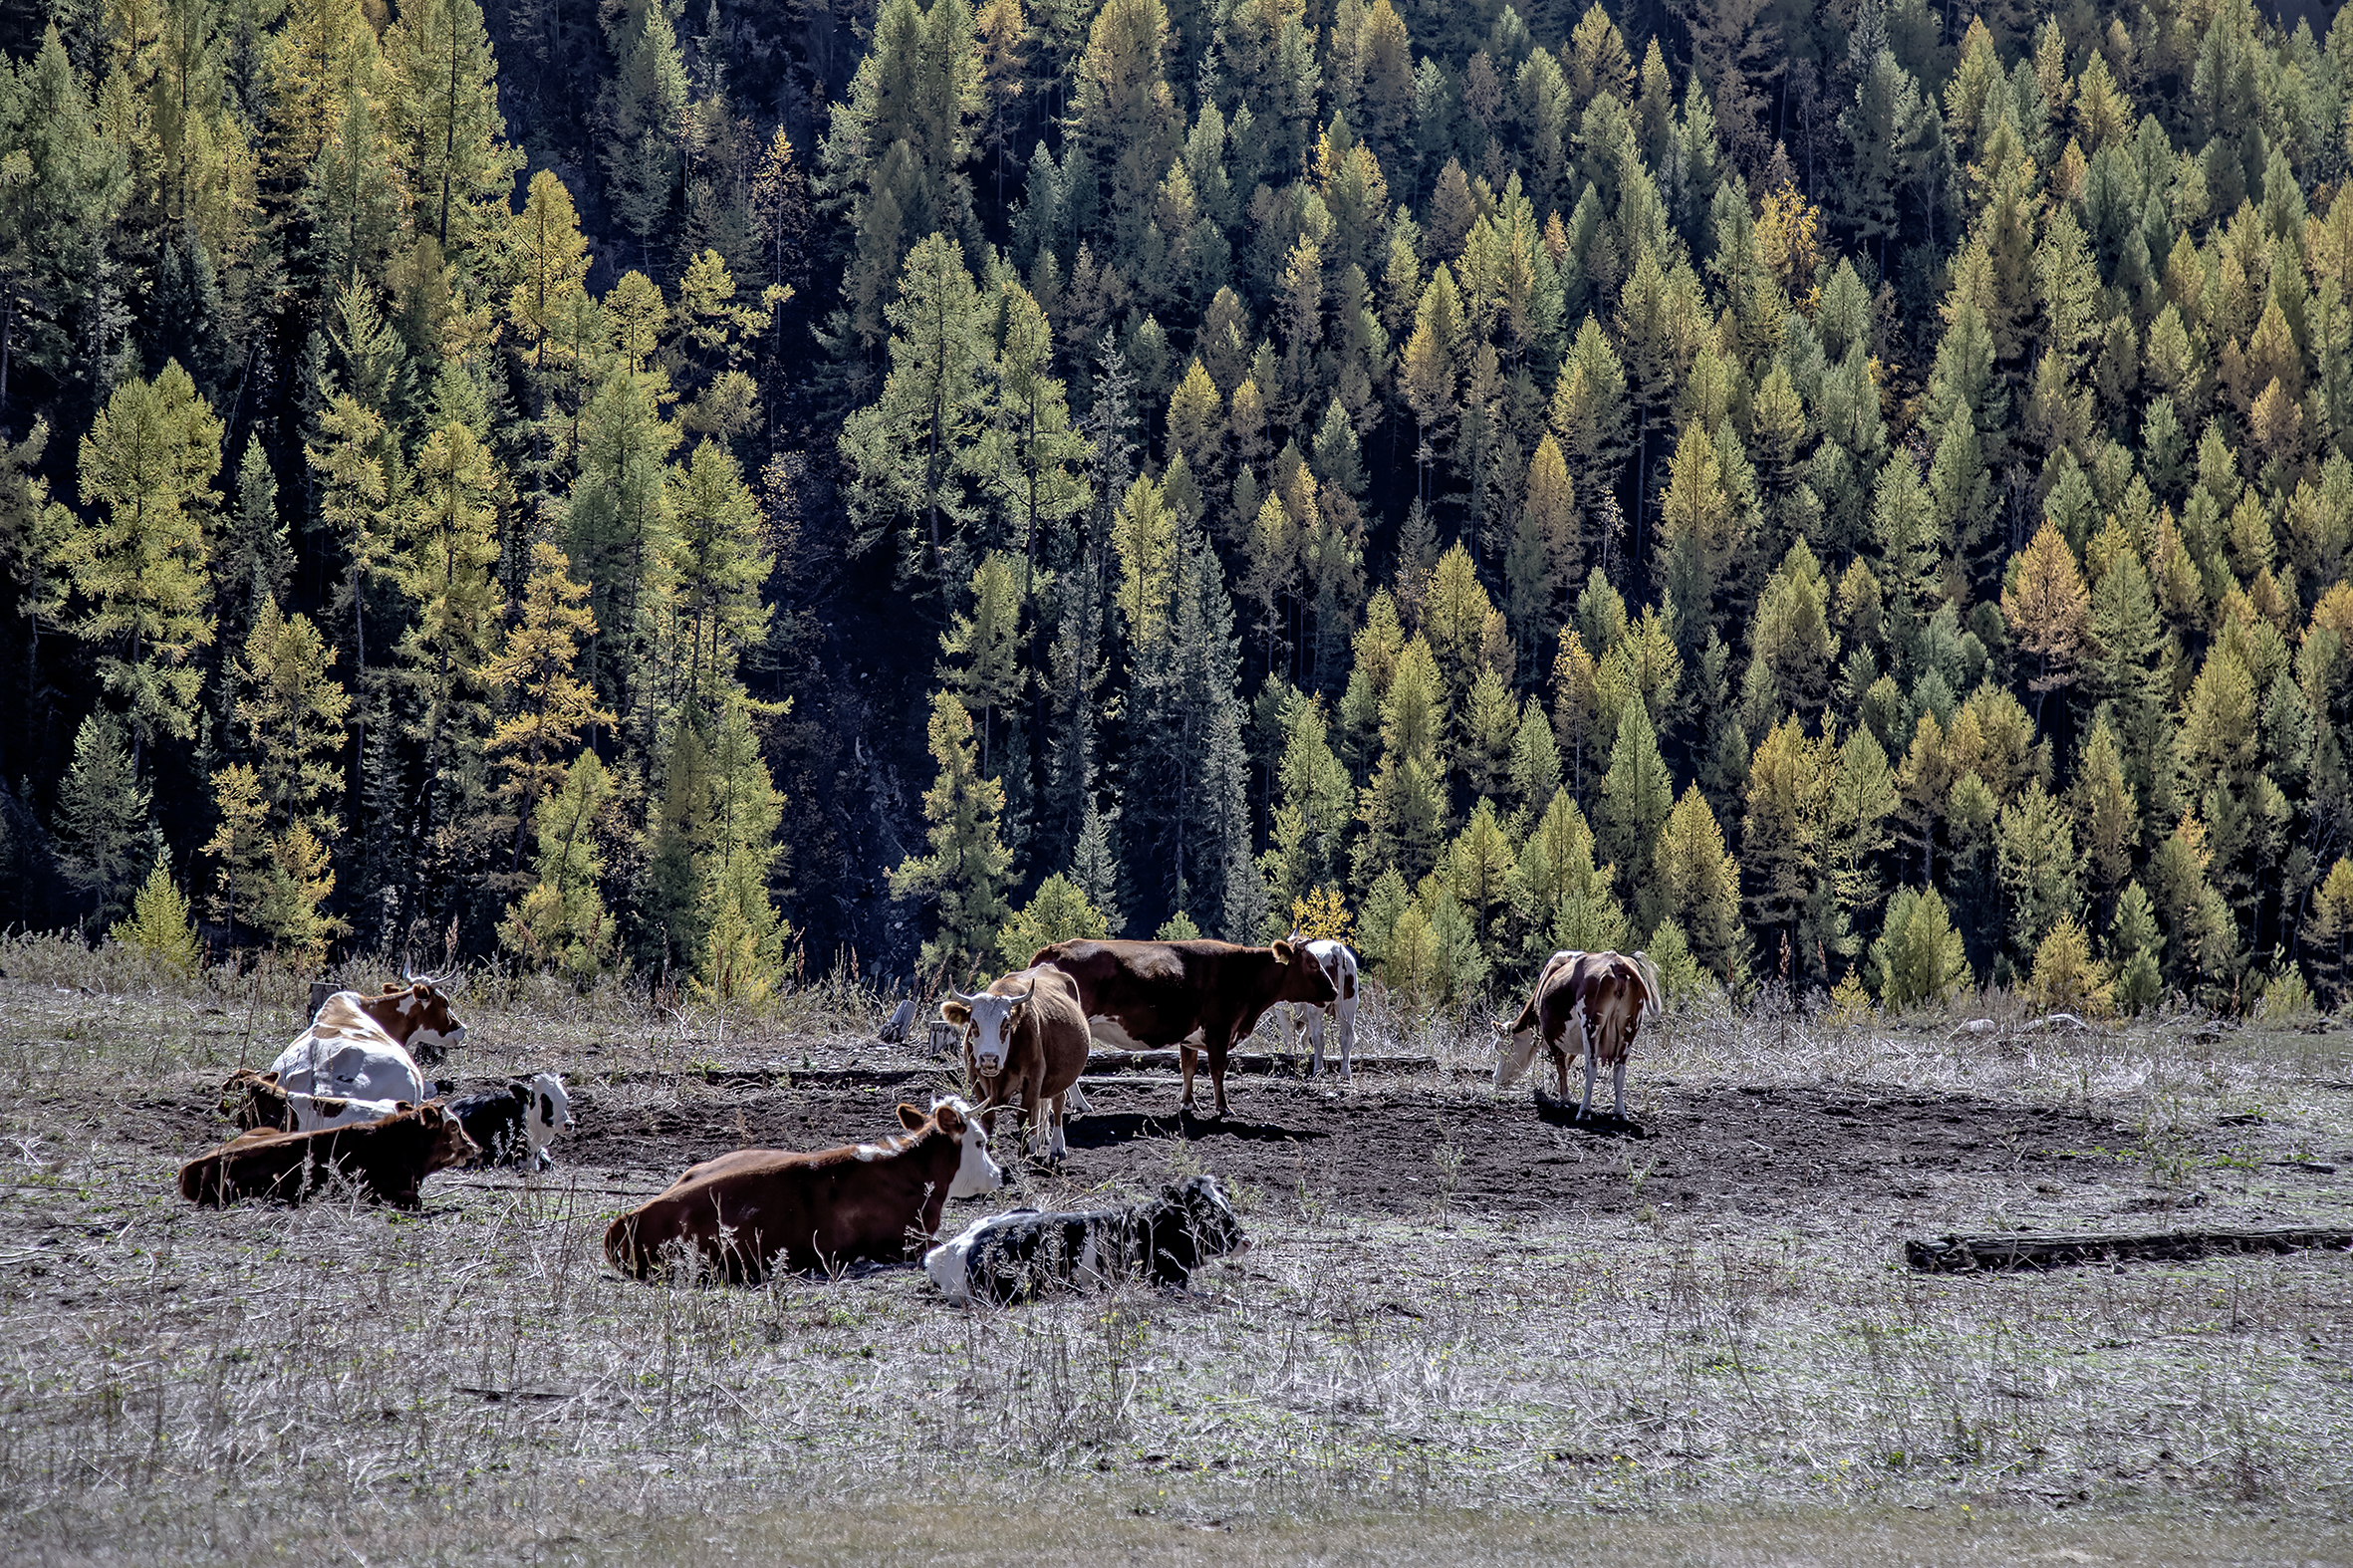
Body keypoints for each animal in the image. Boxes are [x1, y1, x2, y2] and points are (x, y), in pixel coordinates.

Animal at [931, 960, 1087, 1154]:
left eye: (1006, 1024)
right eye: (974, 1024)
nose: (989, 1059)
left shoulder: (1033, 1079)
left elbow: (1024, 1118)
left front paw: (1026, 1153)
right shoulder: (977, 1079)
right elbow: (988, 1118)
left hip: (1061, 1076)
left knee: (1057, 1102)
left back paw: (1057, 1146)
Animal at [1035, 931, 1346, 1116]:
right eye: (1313, 965)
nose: (1333, 991)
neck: (1242, 974)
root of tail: (1054, 949)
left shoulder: (1190, 1034)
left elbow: (1189, 1069)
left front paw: (1187, 1103)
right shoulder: (1220, 1030)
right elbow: (1218, 1071)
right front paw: (1223, 1108)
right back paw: (1080, 1104)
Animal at [1496, 946, 1666, 1116]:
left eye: (1499, 1048)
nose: (1495, 1078)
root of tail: (1616, 962)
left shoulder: (1551, 1035)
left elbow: (1561, 1066)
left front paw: (1564, 1097)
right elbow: (1569, 1060)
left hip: (1591, 1024)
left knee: (1591, 1067)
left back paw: (1584, 1110)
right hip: (1630, 1026)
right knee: (1619, 1069)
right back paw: (1619, 1112)